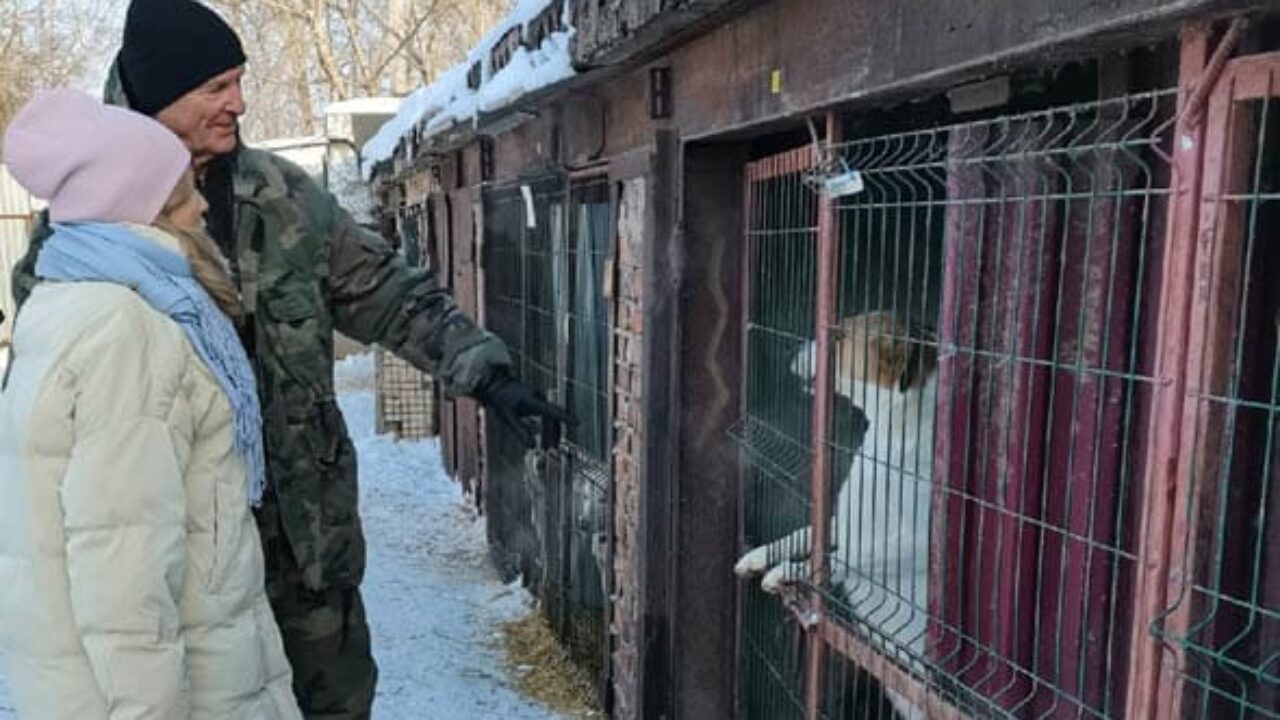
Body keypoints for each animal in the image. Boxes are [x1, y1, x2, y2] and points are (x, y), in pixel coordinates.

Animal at [737, 308, 936, 717]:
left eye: (840, 336)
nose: (791, 347)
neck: (894, 438)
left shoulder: (911, 543)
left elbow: (840, 560)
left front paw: (788, 571)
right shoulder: (841, 523)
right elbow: (799, 536)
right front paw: (759, 557)